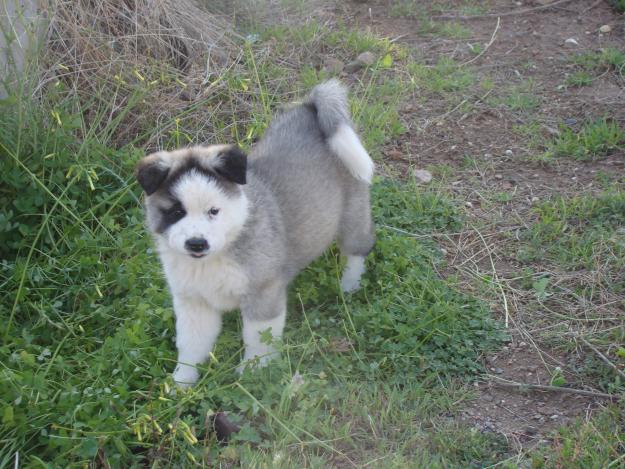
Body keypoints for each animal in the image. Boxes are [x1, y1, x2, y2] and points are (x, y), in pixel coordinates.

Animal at [135, 79, 372, 388]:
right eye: (176, 212)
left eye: (214, 211)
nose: (197, 244)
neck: (221, 251)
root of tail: (310, 108)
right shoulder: (193, 303)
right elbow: (191, 345)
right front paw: (180, 384)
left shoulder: (263, 294)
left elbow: (257, 339)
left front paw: (253, 373)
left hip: (353, 215)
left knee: (357, 251)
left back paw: (349, 285)